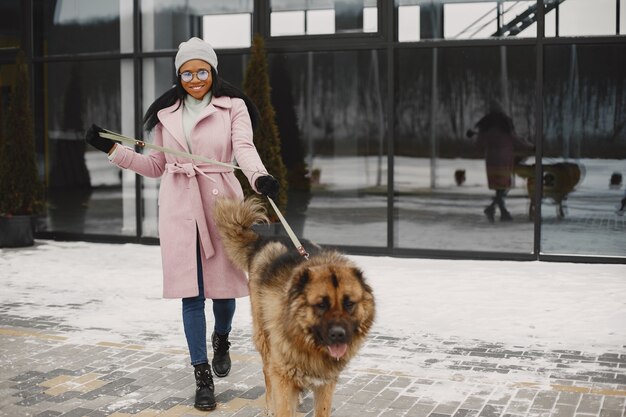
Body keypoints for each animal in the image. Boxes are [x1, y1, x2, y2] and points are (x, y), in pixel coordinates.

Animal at [212, 197, 372, 414]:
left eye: (349, 304)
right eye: (321, 305)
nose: (339, 334)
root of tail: (263, 240)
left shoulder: (326, 382)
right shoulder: (282, 372)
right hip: (264, 336)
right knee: (267, 372)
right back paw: (270, 405)